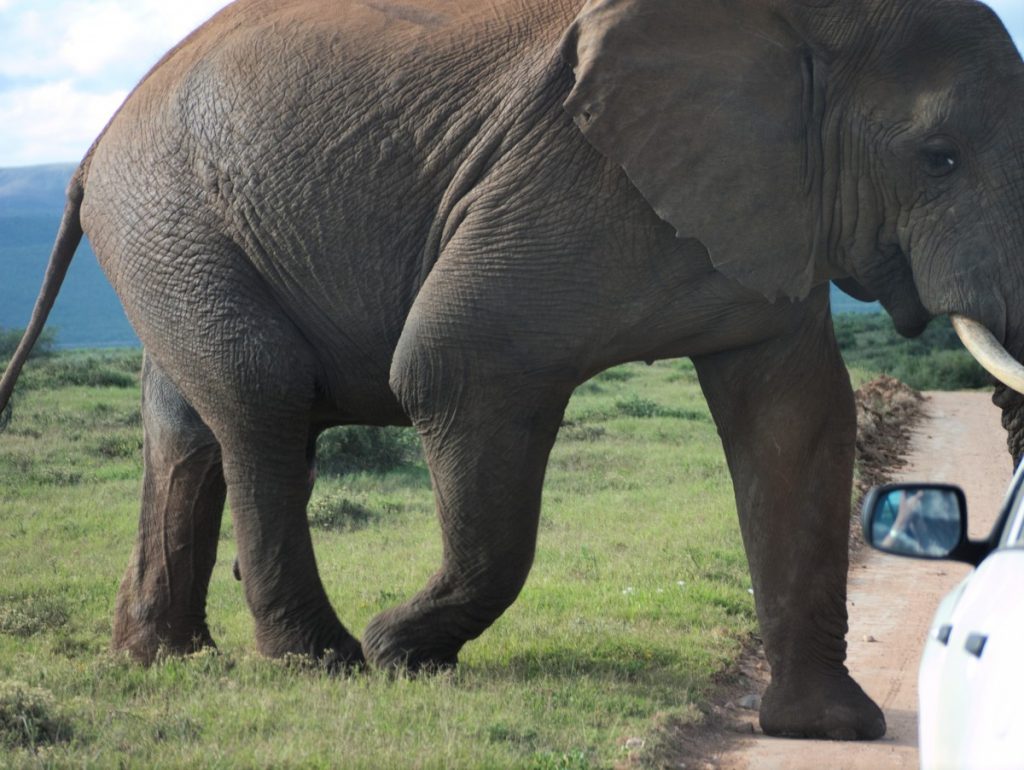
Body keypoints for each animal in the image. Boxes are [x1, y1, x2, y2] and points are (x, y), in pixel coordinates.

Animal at [2, 0, 1024, 745]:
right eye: (938, 158)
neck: (808, 21)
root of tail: (90, 151)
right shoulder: (568, 174)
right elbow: (452, 361)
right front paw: (400, 653)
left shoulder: (769, 207)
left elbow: (797, 418)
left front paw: (828, 728)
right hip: (169, 216)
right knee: (264, 399)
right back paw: (321, 661)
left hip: (166, 233)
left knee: (184, 430)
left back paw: (162, 662)